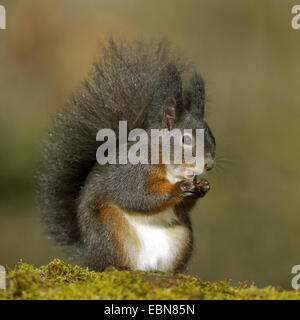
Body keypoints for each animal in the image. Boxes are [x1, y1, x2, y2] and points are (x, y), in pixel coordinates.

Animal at [37, 38, 216, 272]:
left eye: (212, 135)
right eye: (186, 139)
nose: (209, 164)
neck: (169, 167)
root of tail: (89, 255)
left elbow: (178, 209)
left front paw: (203, 187)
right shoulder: (132, 171)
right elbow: (137, 195)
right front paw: (179, 189)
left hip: (181, 237)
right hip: (110, 230)